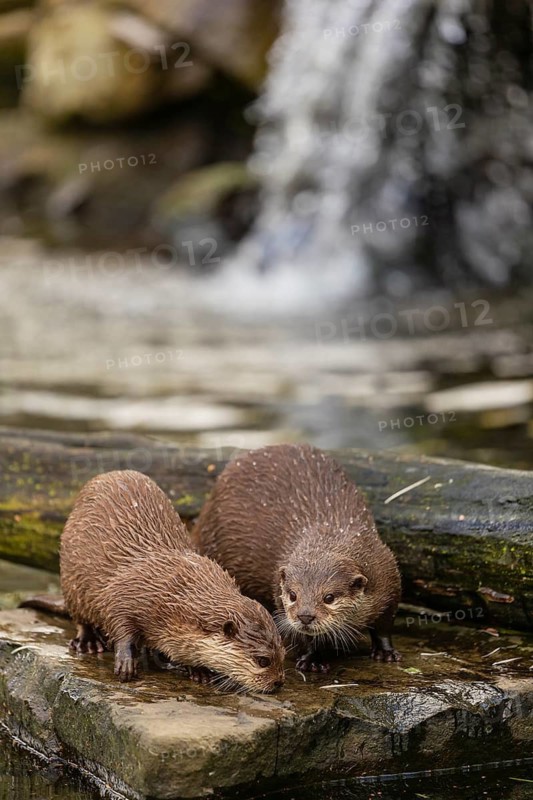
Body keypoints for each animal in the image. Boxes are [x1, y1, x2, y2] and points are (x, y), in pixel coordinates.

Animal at [58, 470, 285, 693]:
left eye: (283, 653)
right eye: (263, 660)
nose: (278, 682)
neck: (171, 596)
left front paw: (199, 670)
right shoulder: (125, 594)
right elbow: (120, 626)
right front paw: (125, 663)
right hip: (72, 581)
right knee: (80, 615)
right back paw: (88, 642)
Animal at [195, 444, 401, 672]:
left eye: (329, 597)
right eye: (293, 595)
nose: (305, 616)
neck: (331, 533)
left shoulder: (387, 576)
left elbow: (384, 625)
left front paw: (385, 651)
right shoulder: (279, 591)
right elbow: (304, 638)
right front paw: (313, 659)